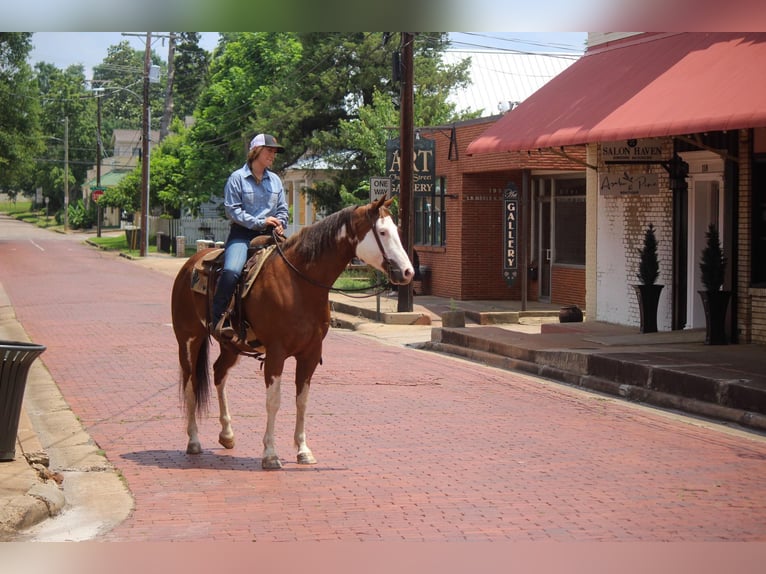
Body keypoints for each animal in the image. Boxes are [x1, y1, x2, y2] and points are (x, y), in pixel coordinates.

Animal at [170, 200, 414, 470]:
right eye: (382, 232)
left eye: (397, 230)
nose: (407, 272)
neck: (299, 283)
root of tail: (190, 264)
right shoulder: (276, 353)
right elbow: (273, 401)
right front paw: (270, 454)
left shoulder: (310, 353)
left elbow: (302, 400)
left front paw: (303, 451)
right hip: (188, 340)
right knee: (191, 383)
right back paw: (193, 440)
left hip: (230, 345)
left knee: (219, 373)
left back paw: (227, 435)